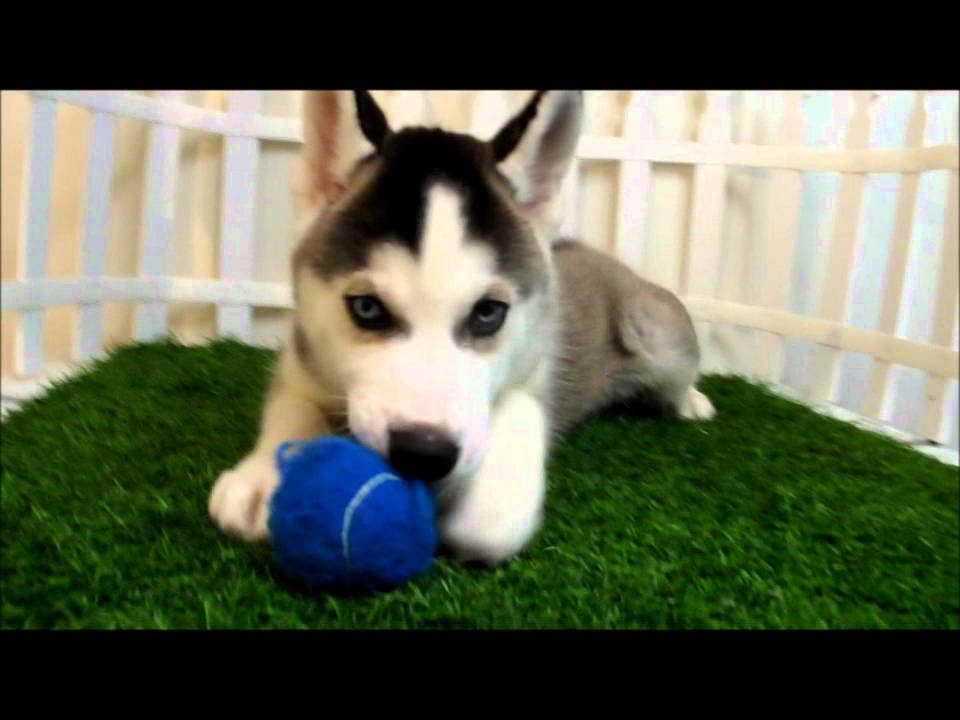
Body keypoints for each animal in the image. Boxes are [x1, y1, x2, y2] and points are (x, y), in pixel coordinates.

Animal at [212, 90, 712, 564]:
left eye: (489, 313)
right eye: (367, 309)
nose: (423, 453)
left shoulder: (532, 377)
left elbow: (490, 520)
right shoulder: (302, 360)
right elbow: (292, 407)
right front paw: (263, 476)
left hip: (656, 334)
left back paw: (691, 400)